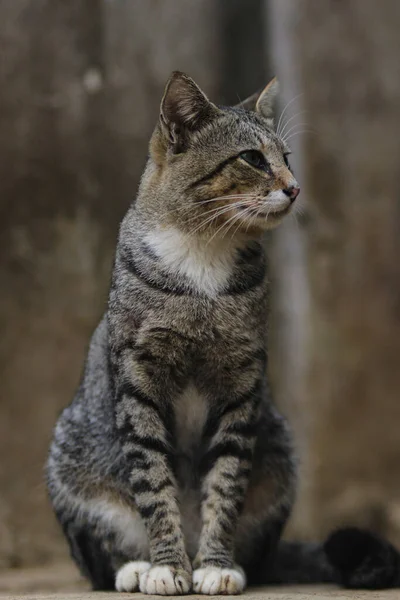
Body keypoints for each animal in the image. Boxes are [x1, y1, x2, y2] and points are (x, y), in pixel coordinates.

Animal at [45, 72, 398, 592]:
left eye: (287, 158)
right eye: (252, 158)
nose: (296, 188)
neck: (204, 259)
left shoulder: (241, 386)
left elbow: (226, 484)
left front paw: (214, 566)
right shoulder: (138, 382)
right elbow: (153, 481)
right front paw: (168, 566)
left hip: (280, 458)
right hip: (72, 462)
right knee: (99, 556)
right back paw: (136, 567)